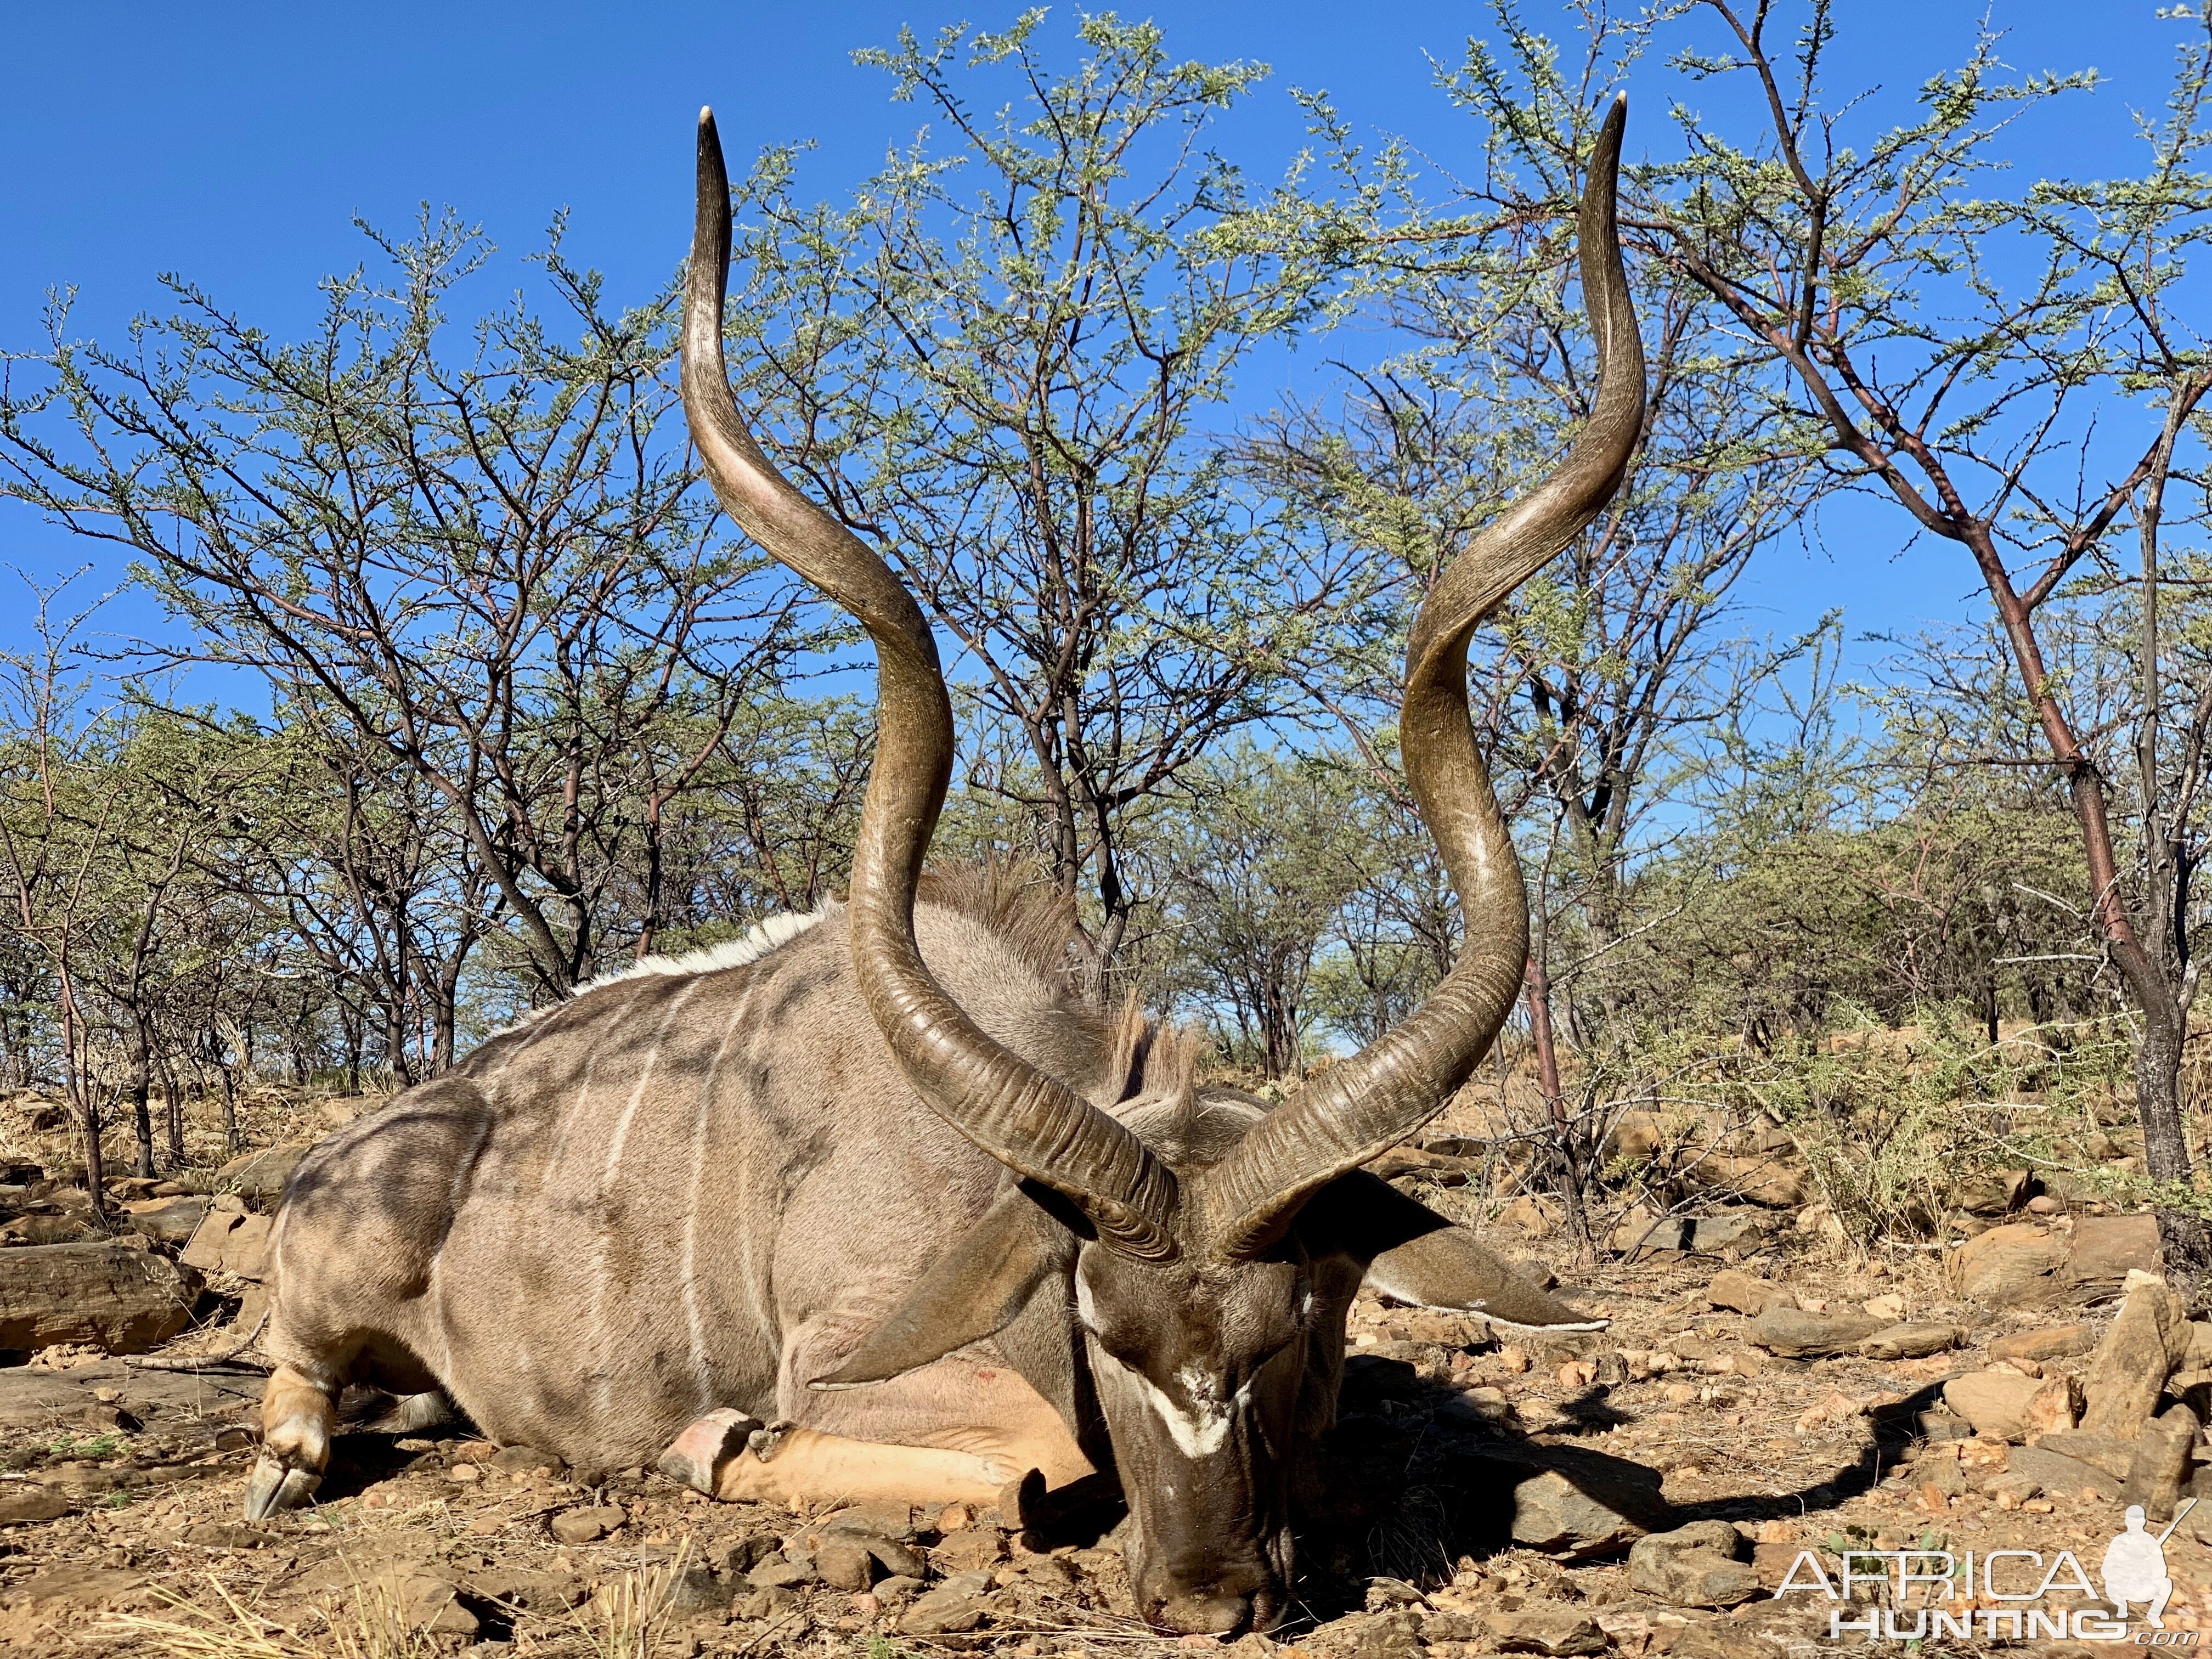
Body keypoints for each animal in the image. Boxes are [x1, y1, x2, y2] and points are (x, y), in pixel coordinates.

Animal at [242, 100, 1645, 1637]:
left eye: (1302, 1326)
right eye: (1100, 1328)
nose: (1207, 1597)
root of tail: (354, 1150)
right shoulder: (855, 1361)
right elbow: (1032, 1462)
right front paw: (713, 1447)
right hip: (329, 1297)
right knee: (297, 1385)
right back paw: (290, 1464)